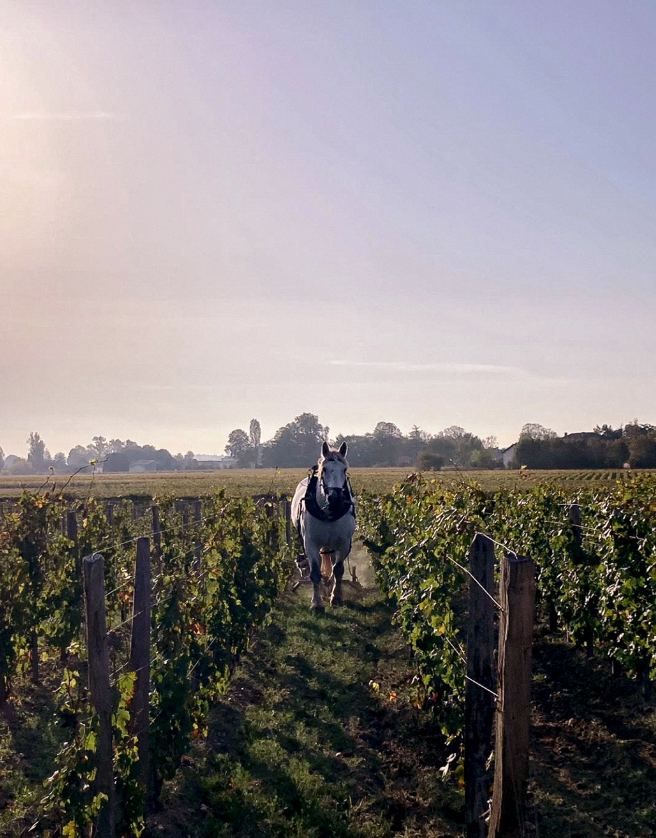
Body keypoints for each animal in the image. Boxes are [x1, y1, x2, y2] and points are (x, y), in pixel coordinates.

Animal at [290, 442, 356, 612]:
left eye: (344, 469)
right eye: (324, 469)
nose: (336, 498)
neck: (328, 512)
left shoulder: (343, 543)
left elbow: (338, 570)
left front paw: (336, 597)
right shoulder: (311, 544)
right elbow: (315, 573)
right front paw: (316, 603)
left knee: (332, 564)